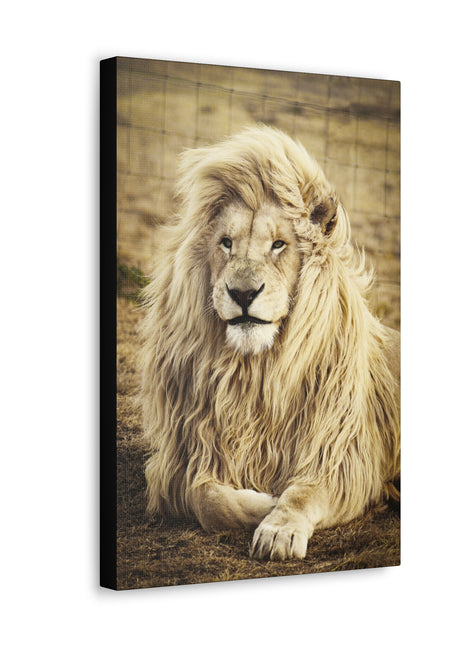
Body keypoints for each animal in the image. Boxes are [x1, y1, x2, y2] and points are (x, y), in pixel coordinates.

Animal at [140, 125, 400, 561]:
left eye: (279, 244)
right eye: (226, 242)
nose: (243, 293)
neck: (255, 372)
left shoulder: (342, 457)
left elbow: (302, 493)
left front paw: (278, 528)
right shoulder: (185, 460)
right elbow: (209, 500)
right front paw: (262, 501)